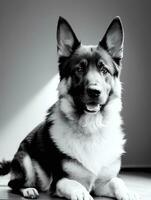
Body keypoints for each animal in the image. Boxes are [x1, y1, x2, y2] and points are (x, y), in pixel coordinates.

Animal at [0, 17, 139, 200]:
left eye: (104, 70)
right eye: (79, 69)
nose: (94, 91)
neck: (91, 127)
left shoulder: (102, 184)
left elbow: (118, 181)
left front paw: (127, 192)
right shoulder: (60, 181)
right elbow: (75, 185)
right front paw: (82, 195)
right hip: (25, 160)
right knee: (13, 184)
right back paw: (28, 189)